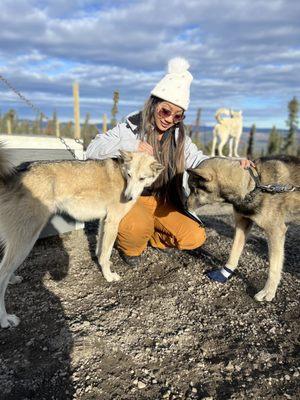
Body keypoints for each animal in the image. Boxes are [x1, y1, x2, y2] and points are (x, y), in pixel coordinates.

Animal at [0, 147, 164, 328]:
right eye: (129, 175)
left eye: (142, 178)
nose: (127, 198)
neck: (121, 174)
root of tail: (12, 175)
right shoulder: (112, 222)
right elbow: (105, 254)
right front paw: (108, 276)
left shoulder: (103, 221)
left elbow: (101, 252)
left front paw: (104, 266)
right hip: (26, 240)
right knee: (2, 275)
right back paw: (5, 319)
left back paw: (13, 278)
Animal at [188, 156, 300, 304]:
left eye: (194, 190)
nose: (185, 205)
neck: (253, 185)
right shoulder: (242, 224)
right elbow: (234, 253)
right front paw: (224, 272)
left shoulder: (275, 231)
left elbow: (274, 267)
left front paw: (268, 291)